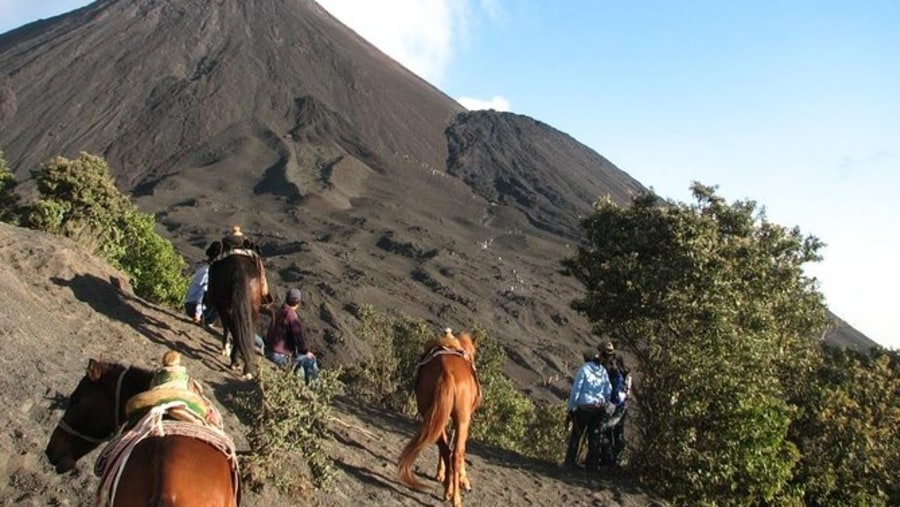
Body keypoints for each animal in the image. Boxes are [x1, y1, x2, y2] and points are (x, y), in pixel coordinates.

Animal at [209, 243, 266, 380]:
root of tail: (239, 270)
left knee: (232, 326)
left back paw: (235, 361)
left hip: (224, 304)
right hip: (253, 307)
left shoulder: (221, 305)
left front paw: (225, 349)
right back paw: (246, 368)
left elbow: (226, 326)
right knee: (246, 328)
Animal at [400, 332, 482, 506]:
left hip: (430, 413)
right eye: (473, 355)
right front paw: (463, 480)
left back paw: (447, 491)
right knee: (456, 453)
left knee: (445, 449)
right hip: (462, 418)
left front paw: (441, 474)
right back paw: (456, 498)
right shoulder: (464, 419)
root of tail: (446, 372)